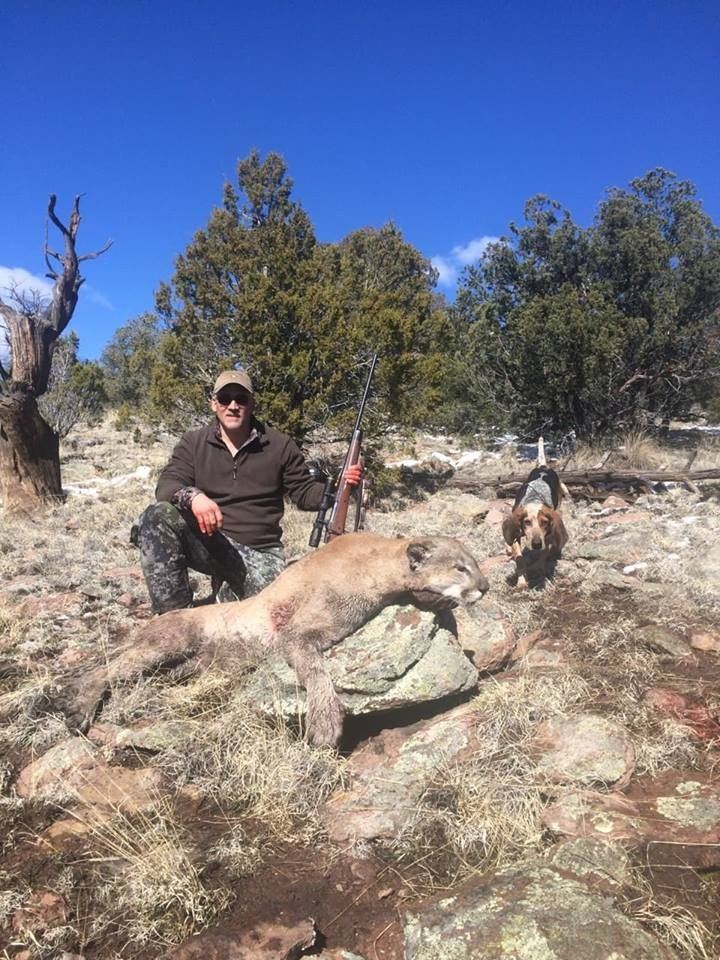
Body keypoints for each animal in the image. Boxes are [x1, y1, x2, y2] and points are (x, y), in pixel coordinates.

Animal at [502, 438, 568, 588]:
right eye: (526, 522)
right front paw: (521, 581)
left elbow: (543, 557)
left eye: (545, 523)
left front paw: (541, 577)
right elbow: (519, 558)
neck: (534, 500)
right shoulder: (516, 534)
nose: (536, 544)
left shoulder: (546, 538)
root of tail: (543, 467)